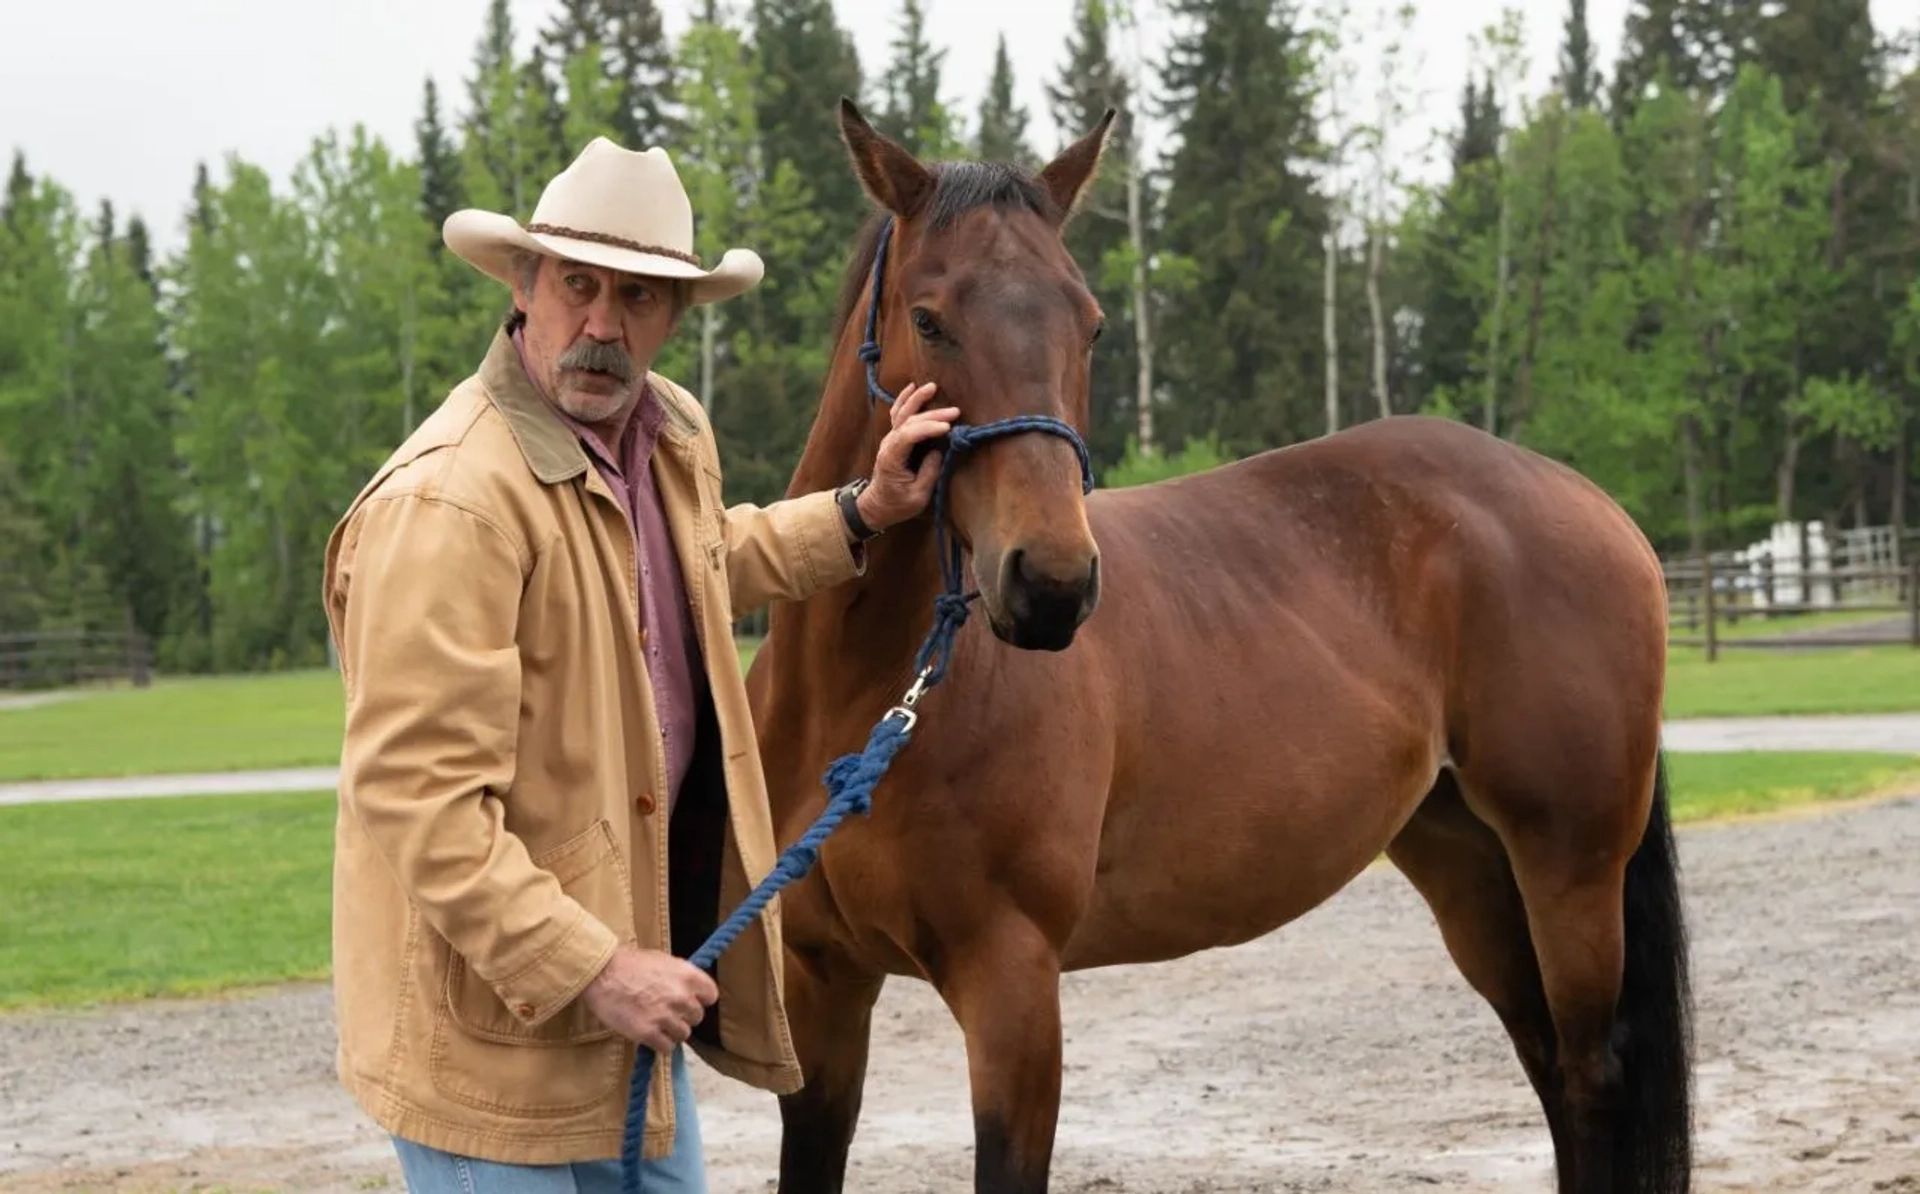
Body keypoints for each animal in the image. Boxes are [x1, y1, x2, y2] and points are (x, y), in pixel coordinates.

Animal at [741, 102, 1689, 1194]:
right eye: (930, 319)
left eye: (1091, 323)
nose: (1052, 583)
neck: (870, 701)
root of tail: (1586, 501)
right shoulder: (821, 989)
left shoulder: (1011, 986)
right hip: (1468, 863)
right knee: (1547, 1065)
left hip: (1570, 868)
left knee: (1591, 1078)